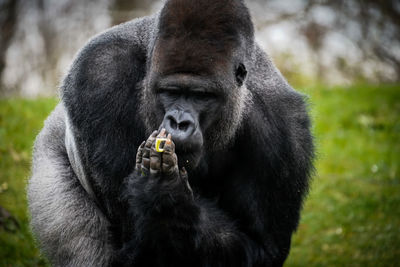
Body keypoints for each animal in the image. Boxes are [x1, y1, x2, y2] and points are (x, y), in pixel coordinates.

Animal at [28, 0, 312, 267]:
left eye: (201, 96)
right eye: (170, 91)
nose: (178, 122)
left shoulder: (285, 132)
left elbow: (262, 249)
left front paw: (167, 198)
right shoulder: (99, 75)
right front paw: (165, 195)